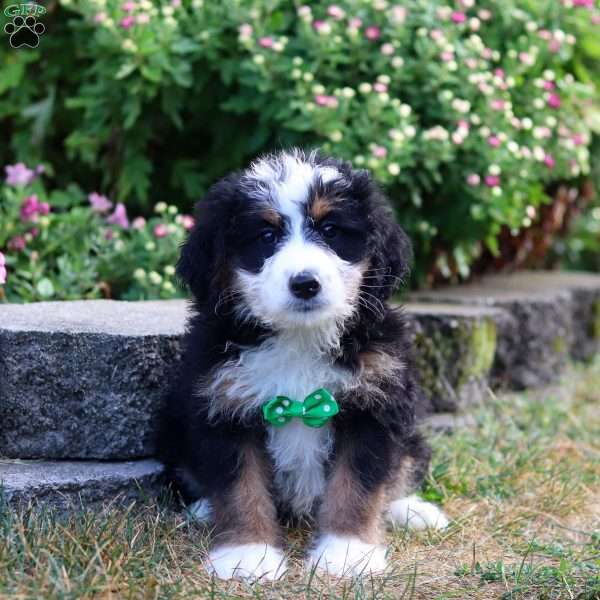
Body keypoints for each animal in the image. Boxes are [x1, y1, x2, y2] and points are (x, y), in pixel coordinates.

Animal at [157, 150, 448, 580]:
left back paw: (412, 510)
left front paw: (347, 552)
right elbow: (239, 487)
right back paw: (204, 509)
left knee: (401, 470)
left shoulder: (374, 404)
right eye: (266, 236)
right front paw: (246, 554)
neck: (299, 338)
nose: (305, 284)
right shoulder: (223, 402)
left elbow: (358, 485)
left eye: (329, 230)